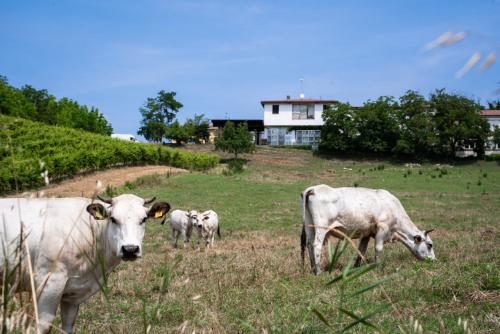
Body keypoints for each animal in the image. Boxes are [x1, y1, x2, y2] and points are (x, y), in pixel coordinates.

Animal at [0, 194, 170, 332]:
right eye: (113, 219)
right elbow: (43, 325)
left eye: (144, 219)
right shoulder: (47, 283)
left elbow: (68, 324)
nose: (130, 249)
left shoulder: (72, 294)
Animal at [298, 185, 436, 274]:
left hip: (310, 226)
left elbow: (361, 250)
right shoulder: (382, 228)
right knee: (316, 245)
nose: (434, 261)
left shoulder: (366, 233)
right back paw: (319, 271)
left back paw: (312, 269)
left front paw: (356, 268)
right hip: (322, 227)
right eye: (430, 244)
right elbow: (378, 248)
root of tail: (314, 188)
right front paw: (377, 266)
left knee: (309, 244)